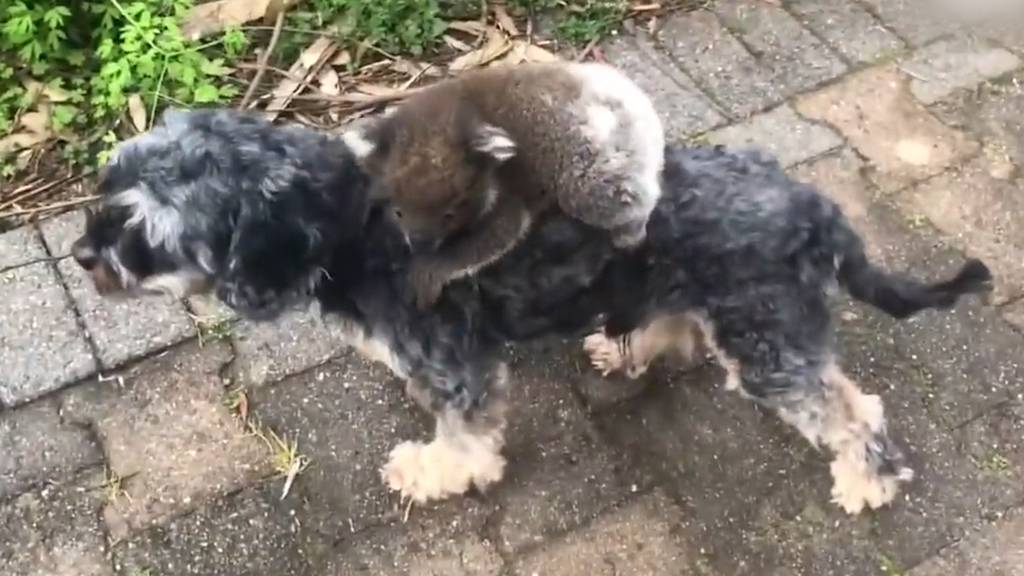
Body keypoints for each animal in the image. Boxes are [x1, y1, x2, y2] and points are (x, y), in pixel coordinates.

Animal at [74, 107, 991, 510]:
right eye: (101, 193)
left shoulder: (460, 367)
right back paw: (634, 344)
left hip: (768, 342)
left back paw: (867, 481)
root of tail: (813, 206)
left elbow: (463, 436)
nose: (84, 257)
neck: (345, 218)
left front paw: (435, 473)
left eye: (138, 230)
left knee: (853, 410)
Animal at [344, 60, 663, 307]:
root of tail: (636, 103)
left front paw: (424, 276)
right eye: (398, 212)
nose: (421, 242)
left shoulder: (508, 195)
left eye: (450, 215)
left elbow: (495, 236)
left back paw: (629, 234)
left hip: (591, 169)